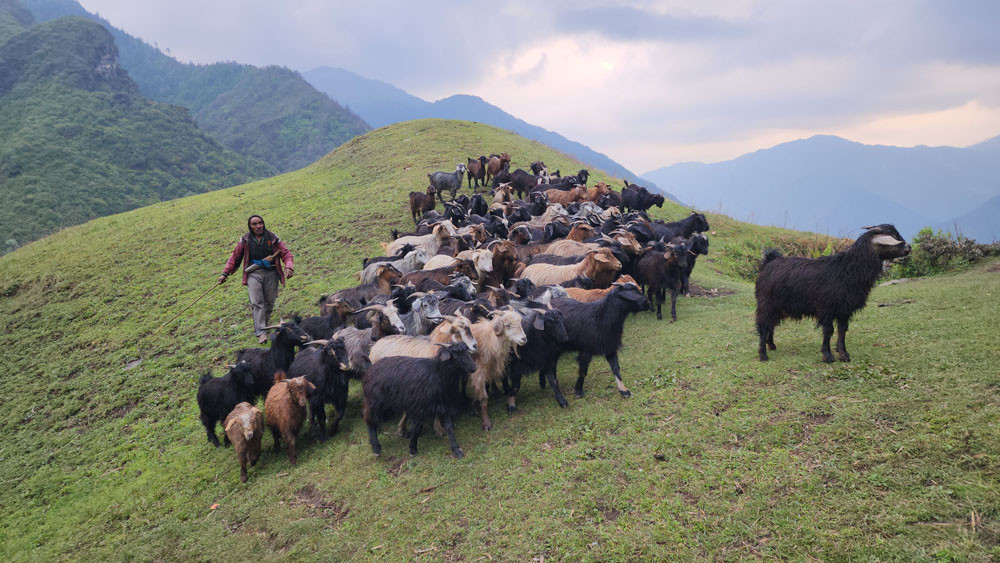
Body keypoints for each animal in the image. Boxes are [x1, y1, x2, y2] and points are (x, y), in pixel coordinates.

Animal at [756, 226, 916, 366]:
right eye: (894, 238)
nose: (909, 247)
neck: (847, 269)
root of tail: (769, 261)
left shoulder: (844, 310)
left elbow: (842, 331)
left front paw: (843, 354)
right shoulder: (826, 309)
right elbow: (829, 331)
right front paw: (827, 356)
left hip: (778, 307)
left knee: (771, 324)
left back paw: (771, 344)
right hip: (766, 304)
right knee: (763, 326)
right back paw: (763, 354)